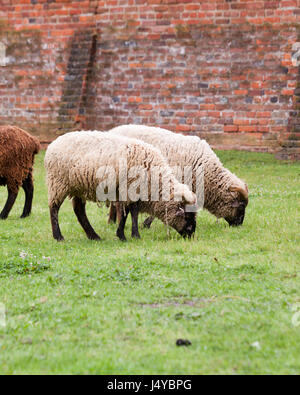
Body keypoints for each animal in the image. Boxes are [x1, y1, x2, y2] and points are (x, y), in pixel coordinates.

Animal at [44, 131, 197, 241]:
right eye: (187, 216)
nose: (191, 235)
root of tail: (53, 144)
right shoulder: (129, 189)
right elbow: (129, 212)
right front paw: (127, 235)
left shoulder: (132, 191)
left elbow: (130, 212)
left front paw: (128, 234)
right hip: (58, 182)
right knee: (54, 208)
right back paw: (58, 236)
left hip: (79, 187)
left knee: (79, 210)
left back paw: (93, 236)